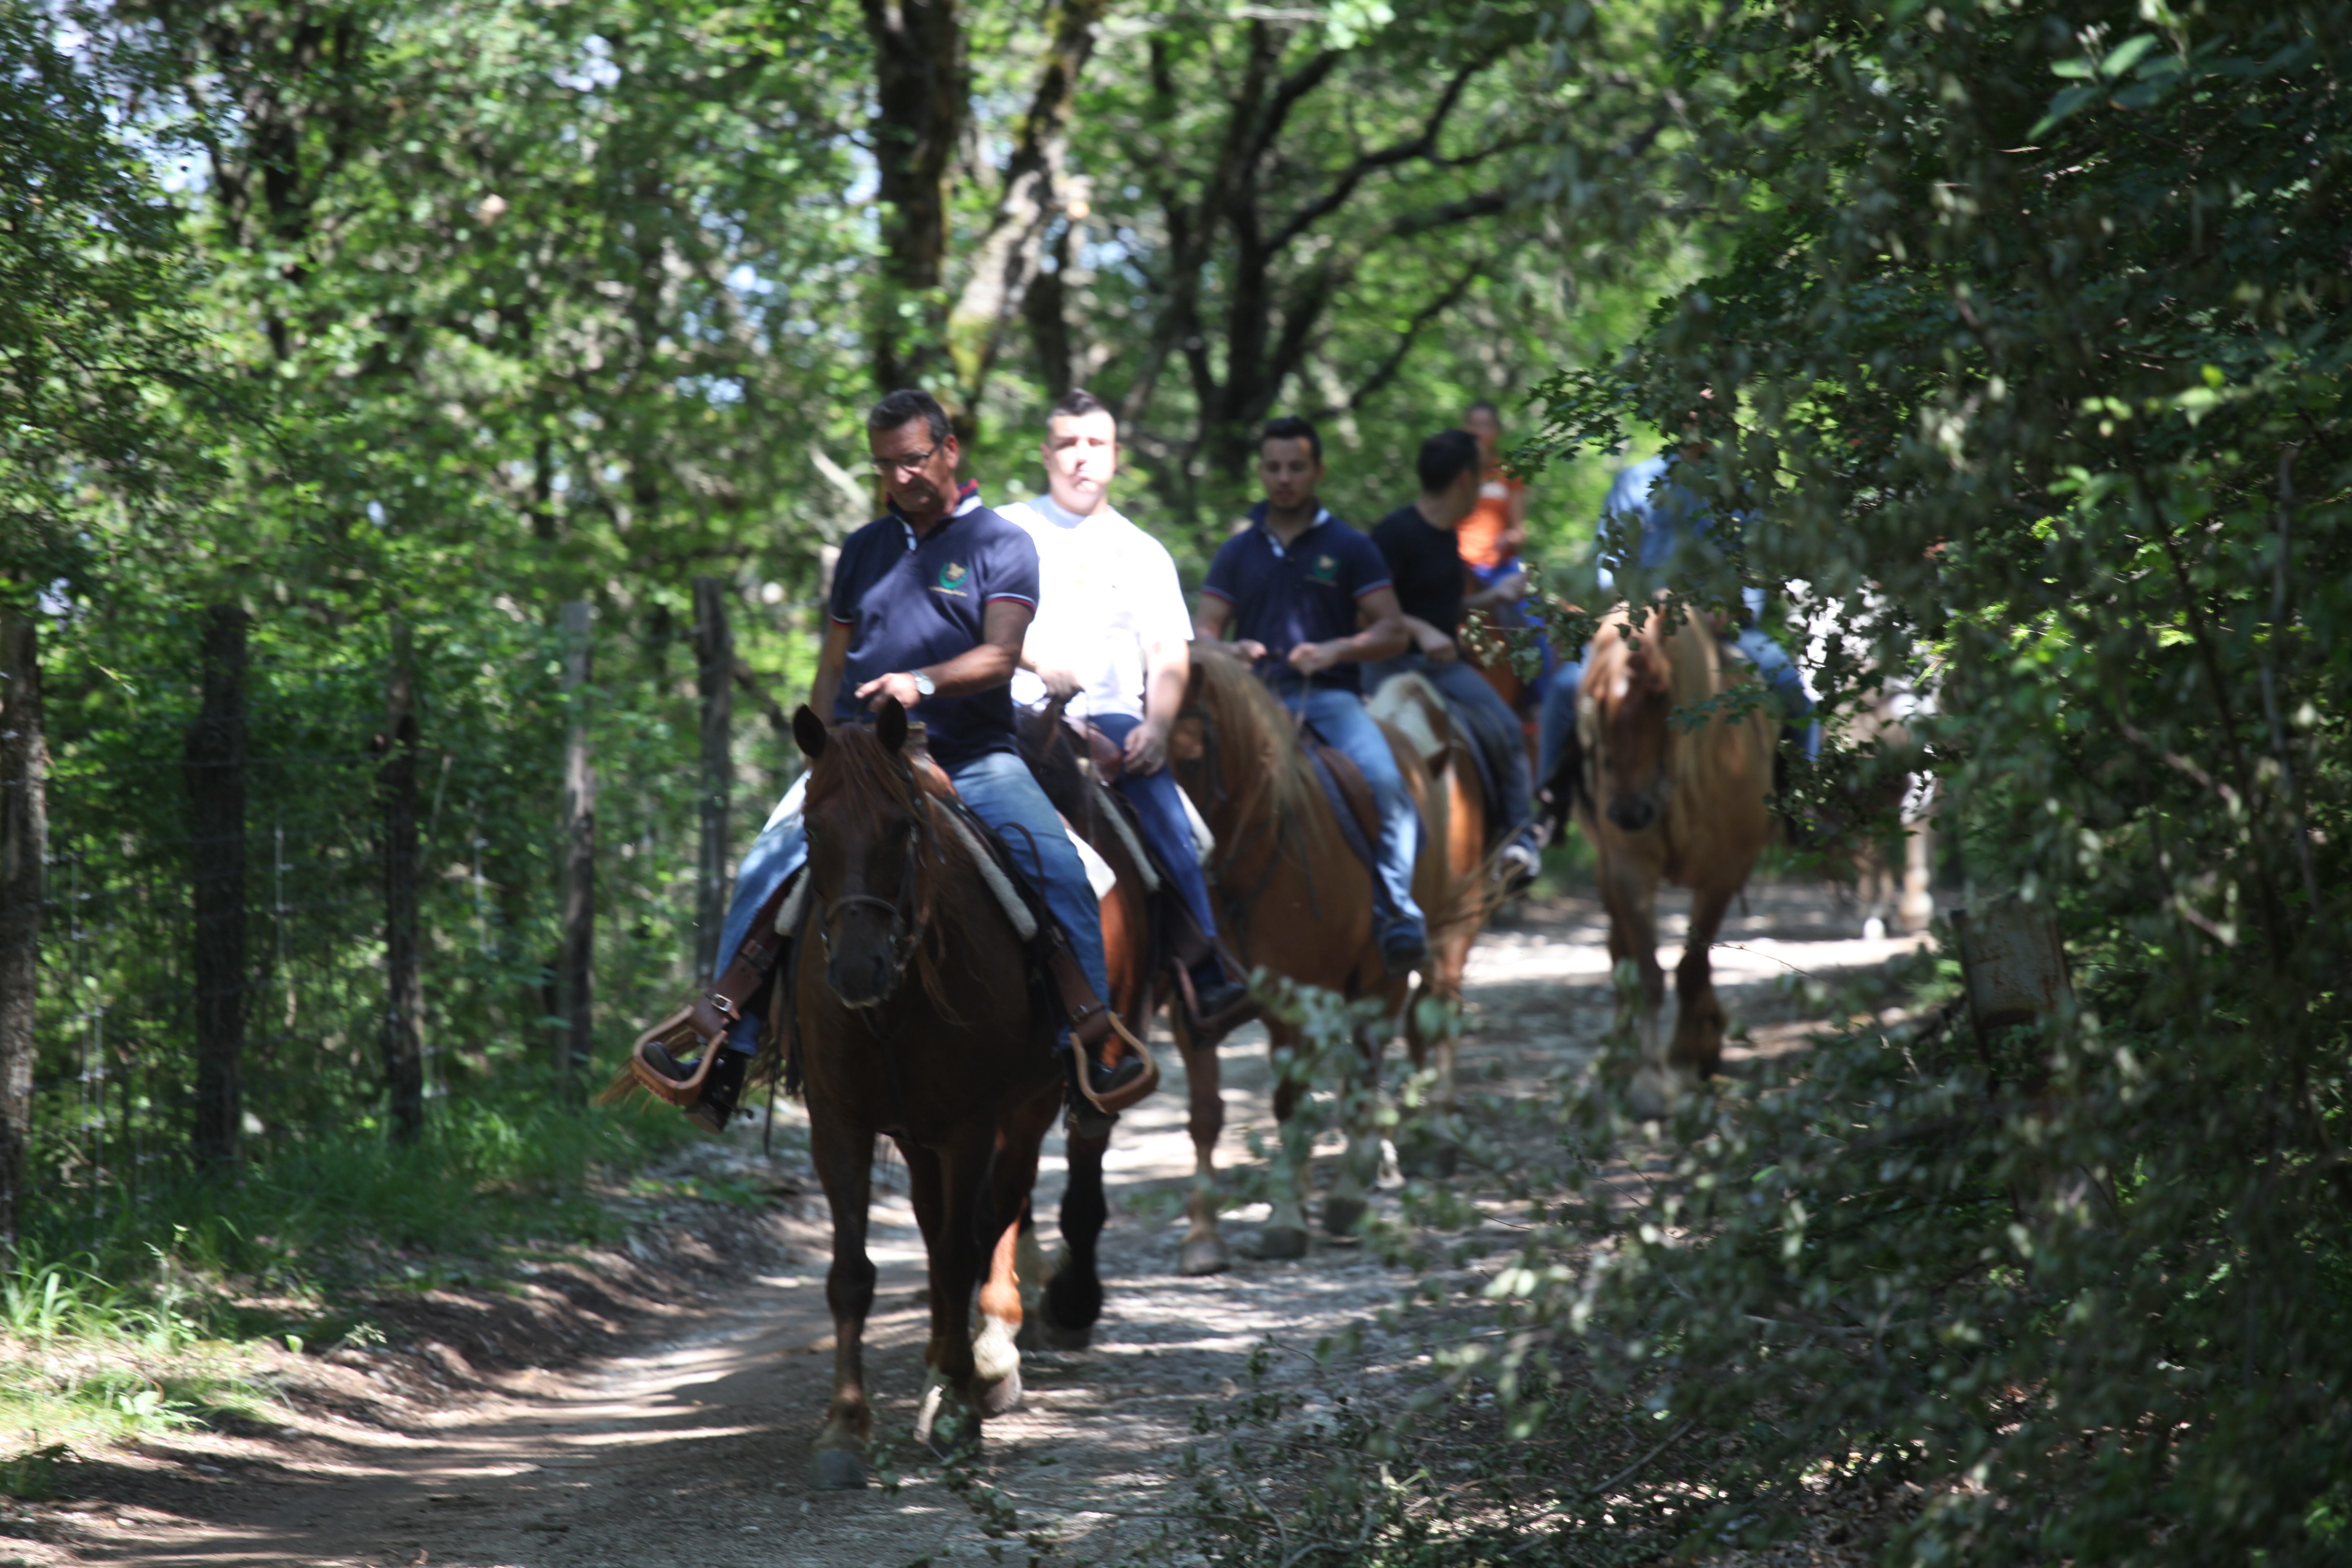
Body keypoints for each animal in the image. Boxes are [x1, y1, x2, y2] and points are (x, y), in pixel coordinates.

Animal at [780, 701, 1064, 1488]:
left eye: (900, 828)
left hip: (1021, 1111)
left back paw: (980, 1367)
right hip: (916, 1134)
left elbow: (965, 1249)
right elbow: (852, 1272)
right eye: (812, 830)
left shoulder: (971, 1121)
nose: (856, 968)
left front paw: (964, 1414)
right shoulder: (839, 1119)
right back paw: (944, 1364)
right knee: (937, 1226)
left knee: (995, 1214)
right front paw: (843, 1428)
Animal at [1164, 646, 1462, 1272]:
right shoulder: (1189, 1012)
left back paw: (1349, 1192)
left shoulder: (1300, 999)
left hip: (1381, 981)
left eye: (1193, 758)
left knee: (1365, 1073)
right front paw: (1202, 1235)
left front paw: (1285, 1220)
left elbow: (1290, 1104)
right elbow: (1205, 1115)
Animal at [1573, 604, 1776, 1116]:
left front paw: (1686, 1058)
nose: (1629, 812)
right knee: (1619, 955)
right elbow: (1646, 973)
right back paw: (1618, 1059)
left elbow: (1691, 967)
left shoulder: (1723, 873)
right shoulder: (1628, 870)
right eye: (1594, 697)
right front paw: (1650, 1080)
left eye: (1659, 696)